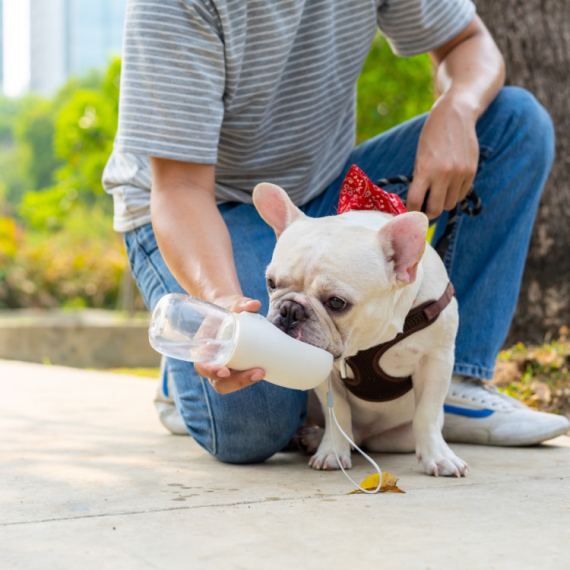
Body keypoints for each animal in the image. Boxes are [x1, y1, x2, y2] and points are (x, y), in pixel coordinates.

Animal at [252, 178, 466, 474]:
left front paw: (439, 456)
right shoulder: (325, 371)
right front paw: (332, 451)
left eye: (336, 302)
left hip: (397, 438)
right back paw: (314, 437)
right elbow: (338, 412)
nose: (290, 311)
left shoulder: (437, 360)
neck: (372, 341)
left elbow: (427, 413)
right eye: (271, 283)